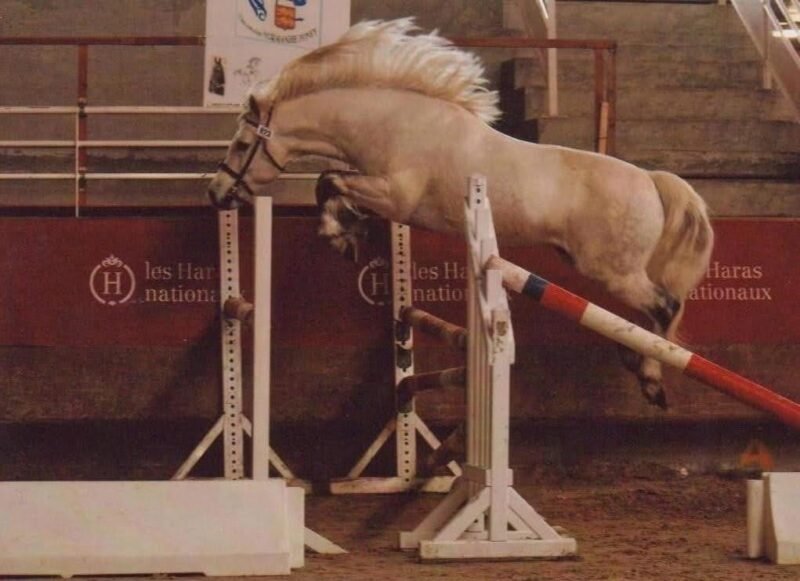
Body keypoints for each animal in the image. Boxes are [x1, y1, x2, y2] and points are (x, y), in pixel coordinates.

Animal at [207, 18, 714, 409]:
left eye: (241, 144)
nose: (216, 194)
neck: (391, 123)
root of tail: (651, 180)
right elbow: (329, 183)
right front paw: (347, 234)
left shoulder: (395, 195)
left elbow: (330, 180)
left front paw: (340, 234)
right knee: (650, 313)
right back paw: (634, 359)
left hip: (612, 271)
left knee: (666, 306)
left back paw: (652, 380)